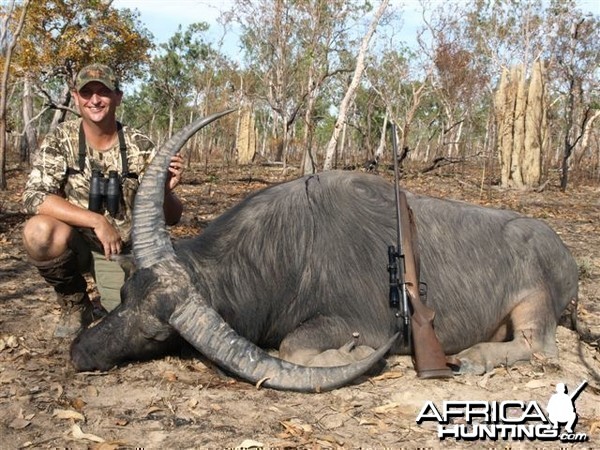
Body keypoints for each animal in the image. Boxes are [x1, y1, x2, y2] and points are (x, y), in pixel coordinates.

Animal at [68, 110, 580, 392]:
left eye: (158, 334)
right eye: (125, 295)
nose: (81, 352)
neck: (289, 250)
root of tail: (565, 255)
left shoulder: (359, 323)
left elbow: (293, 345)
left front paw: (349, 355)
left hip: (534, 308)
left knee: (540, 348)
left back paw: (476, 357)